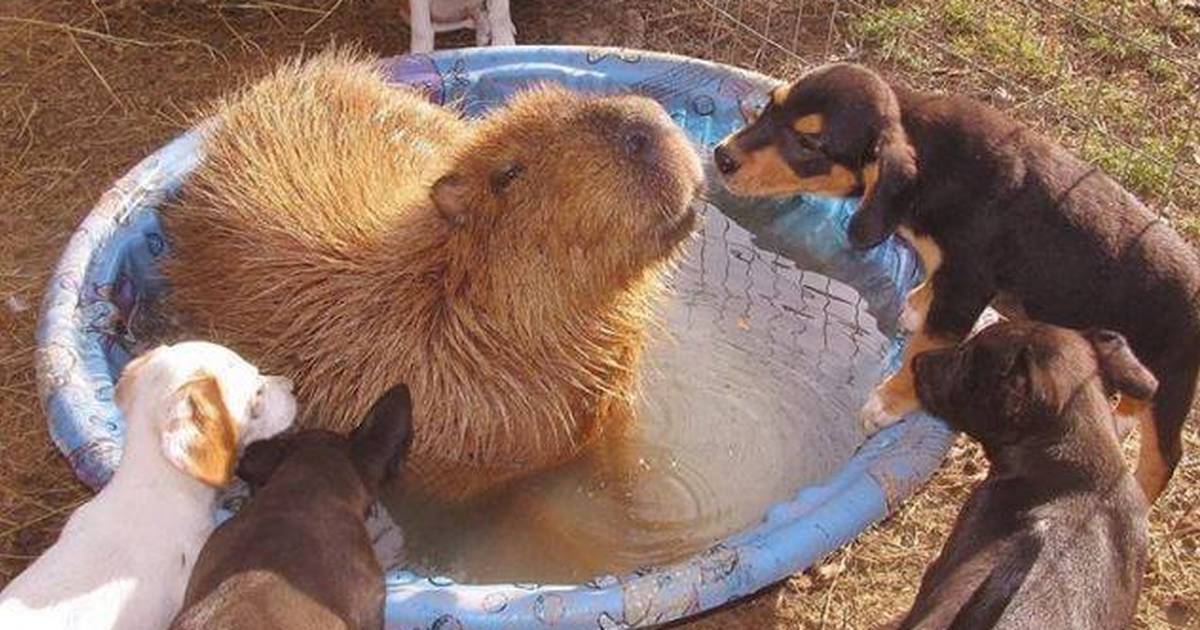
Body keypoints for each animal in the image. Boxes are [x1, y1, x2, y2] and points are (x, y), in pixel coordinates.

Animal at [710, 61, 1200, 499]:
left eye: (809, 141)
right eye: (772, 105)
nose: (722, 156)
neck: (932, 155)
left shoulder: (967, 284)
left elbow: (924, 346)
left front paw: (887, 402)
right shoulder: (946, 267)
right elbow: (928, 290)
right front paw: (914, 303)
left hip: (1176, 377)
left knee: (1165, 454)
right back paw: (1119, 418)